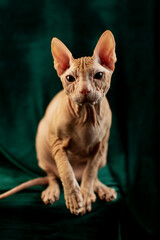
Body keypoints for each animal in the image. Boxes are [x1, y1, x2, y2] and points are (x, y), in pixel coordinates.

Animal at [0, 30, 117, 216]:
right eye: (70, 78)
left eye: (98, 75)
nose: (84, 90)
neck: (86, 116)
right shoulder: (56, 142)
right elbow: (65, 170)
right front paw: (74, 197)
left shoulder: (101, 145)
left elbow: (90, 172)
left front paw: (85, 194)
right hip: (42, 148)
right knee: (53, 176)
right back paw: (52, 191)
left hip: (103, 156)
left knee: (92, 174)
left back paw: (100, 189)